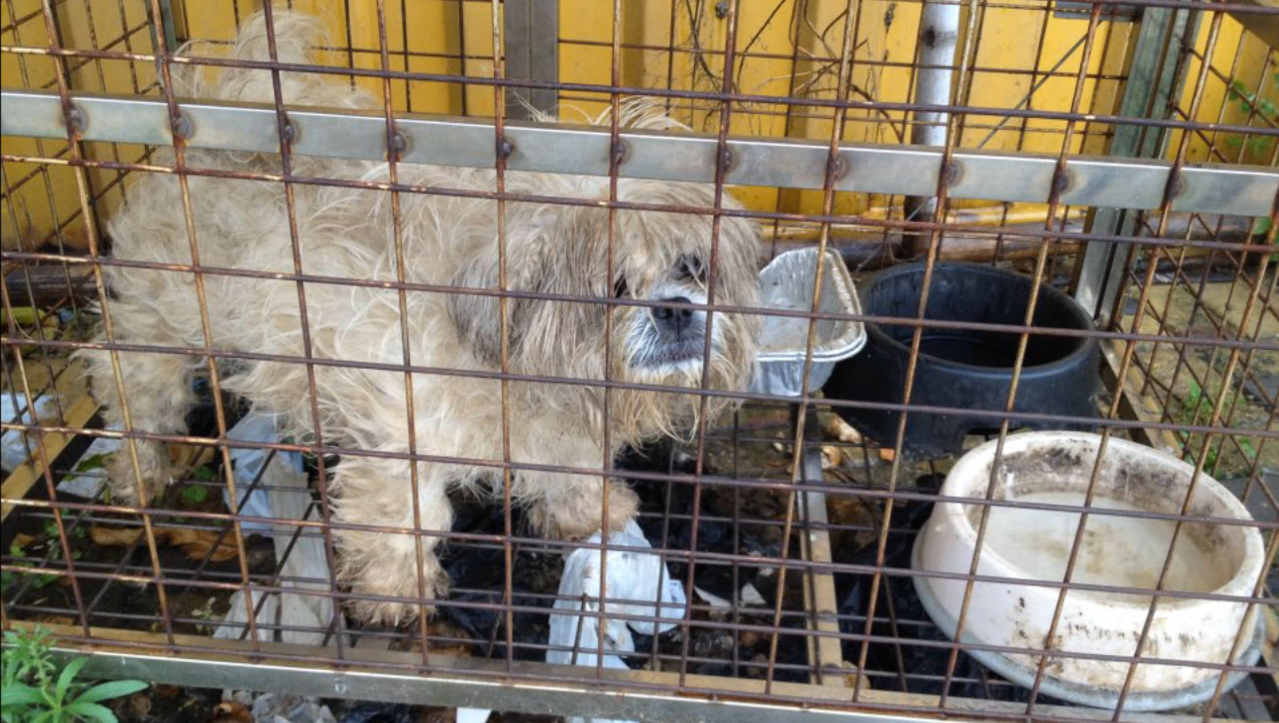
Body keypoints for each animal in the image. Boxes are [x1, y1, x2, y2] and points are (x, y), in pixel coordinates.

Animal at [79, 9, 761, 625]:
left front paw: (589, 511)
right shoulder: (396, 431)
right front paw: (396, 595)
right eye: (614, 285)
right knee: (132, 391)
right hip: (158, 326)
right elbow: (409, 519)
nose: (674, 308)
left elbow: (568, 467)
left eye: (693, 268)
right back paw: (137, 474)